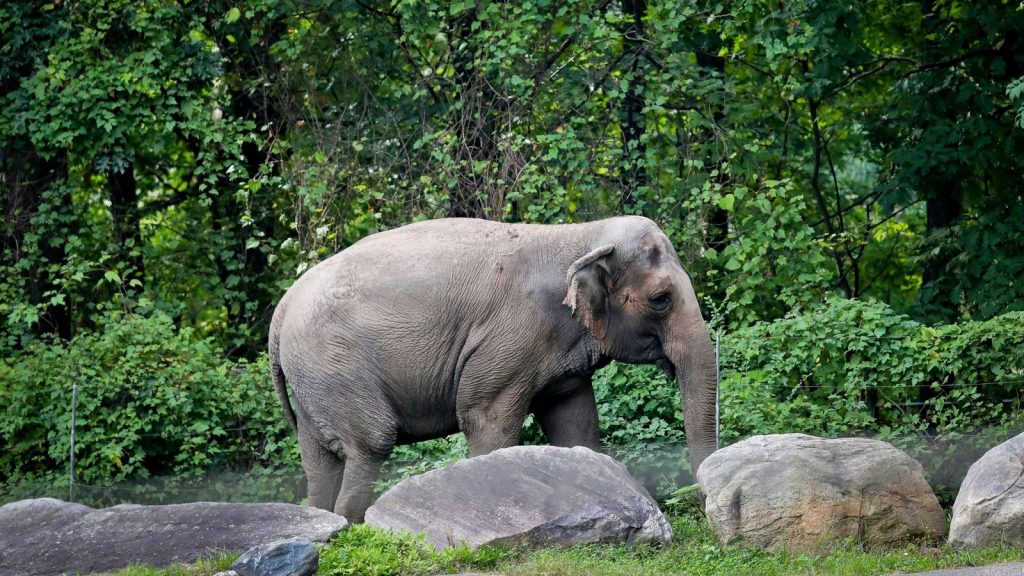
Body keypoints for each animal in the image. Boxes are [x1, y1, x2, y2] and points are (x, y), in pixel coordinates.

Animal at [269, 216, 718, 523]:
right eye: (660, 299)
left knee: (319, 460)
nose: (701, 504)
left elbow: (576, 424)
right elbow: (487, 421)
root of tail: (282, 308)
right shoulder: (509, 339)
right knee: (370, 443)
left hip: (313, 380)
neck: (580, 235)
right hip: (335, 365)